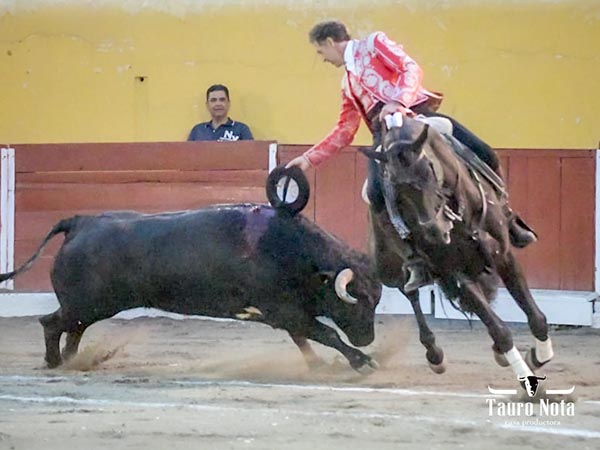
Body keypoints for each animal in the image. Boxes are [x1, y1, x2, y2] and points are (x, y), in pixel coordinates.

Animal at [0, 167, 382, 370]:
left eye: (376, 300)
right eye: (359, 301)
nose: (368, 337)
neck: (293, 250)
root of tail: (79, 222)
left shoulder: (286, 315)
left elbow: (305, 338)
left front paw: (321, 365)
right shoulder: (285, 311)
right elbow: (325, 333)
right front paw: (363, 361)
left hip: (89, 306)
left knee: (72, 329)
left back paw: (71, 361)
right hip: (89, 303)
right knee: (52, 323)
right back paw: (54, 362)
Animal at [360, 113, 552, 380]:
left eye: (429, 169)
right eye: (394, 188)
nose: (434, 232)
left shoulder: (503, 255)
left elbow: (535, 316)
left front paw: (538, 356)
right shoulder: (455, 273)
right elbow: (498, 328)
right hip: (387, 269)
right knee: (410, 292)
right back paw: (434, 353)